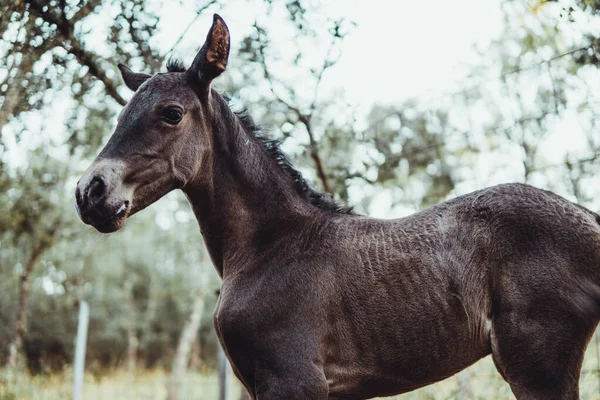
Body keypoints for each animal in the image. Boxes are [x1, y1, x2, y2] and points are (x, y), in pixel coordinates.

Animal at [77, 14, 600, 398]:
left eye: (171, 113)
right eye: (121, 115)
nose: (89, 192)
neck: (270, 246)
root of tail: (588, 219)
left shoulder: (293, 381)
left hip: (537, 364)